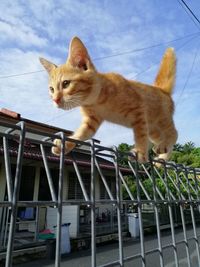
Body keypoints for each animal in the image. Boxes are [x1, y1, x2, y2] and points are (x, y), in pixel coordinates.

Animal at [39, 37, 177, 164]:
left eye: (66, 83)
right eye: (51, 89)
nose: (55, 100)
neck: (97, 99)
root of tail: (161, 89)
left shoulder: (138, 109)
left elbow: (141, 134)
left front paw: (141, 152)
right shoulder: (92, 120)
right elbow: (82, 133)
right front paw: (66, 144)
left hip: (162, 119)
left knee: (174, 133)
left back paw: (164, 150)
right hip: (153, 129)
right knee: (160, 136)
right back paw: (162, 154)